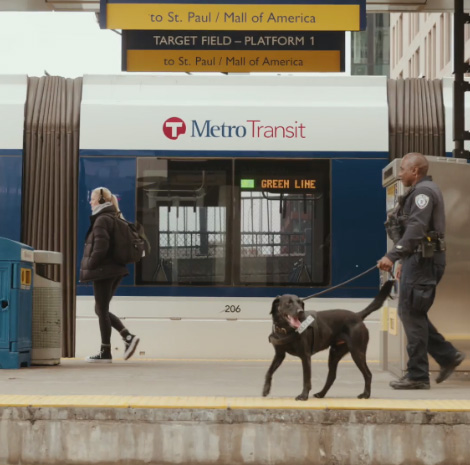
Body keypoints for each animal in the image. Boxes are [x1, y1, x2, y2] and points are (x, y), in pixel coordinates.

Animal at [262, 280, 394, 398]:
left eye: (300, 303)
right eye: (288, 303)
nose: (300, 311)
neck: (285, 330)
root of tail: (358, 315)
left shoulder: (305, 356)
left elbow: (306, 378)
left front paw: (303, 396)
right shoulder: (279, 355)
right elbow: (268, 371)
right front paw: (266, 389)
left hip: (357, 352)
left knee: (368, 374)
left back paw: (366, 394)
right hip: (335, 353)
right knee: (332, 376)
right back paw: (321, 394)